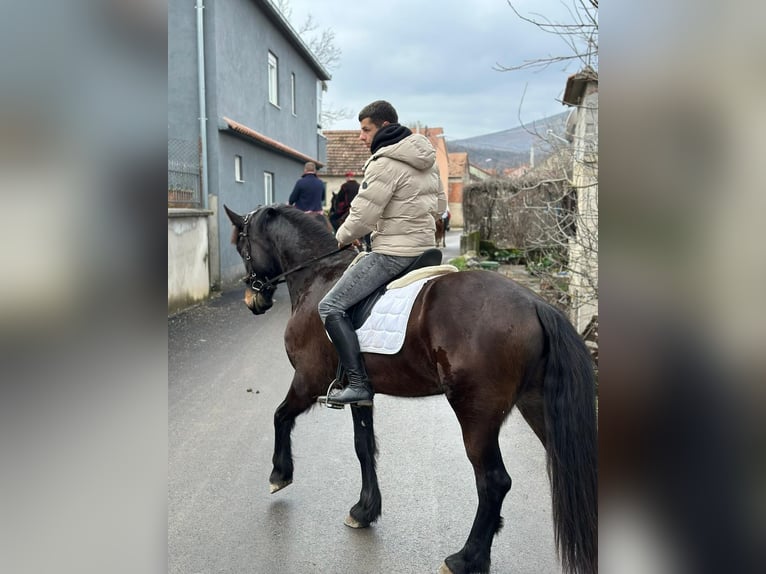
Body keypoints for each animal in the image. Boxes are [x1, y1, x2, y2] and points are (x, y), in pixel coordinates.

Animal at [224, 204, 597, 574]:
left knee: (493, 481)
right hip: (536, 404)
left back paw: (466, 558)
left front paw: (279, 474)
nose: (252, 301)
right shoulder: (360, 394)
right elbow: (363, 447)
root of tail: (535, 304)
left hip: (476, 414)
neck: (320, 276)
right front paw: (364, 511)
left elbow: (280, 416)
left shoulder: (307, 379)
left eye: (242, 246)